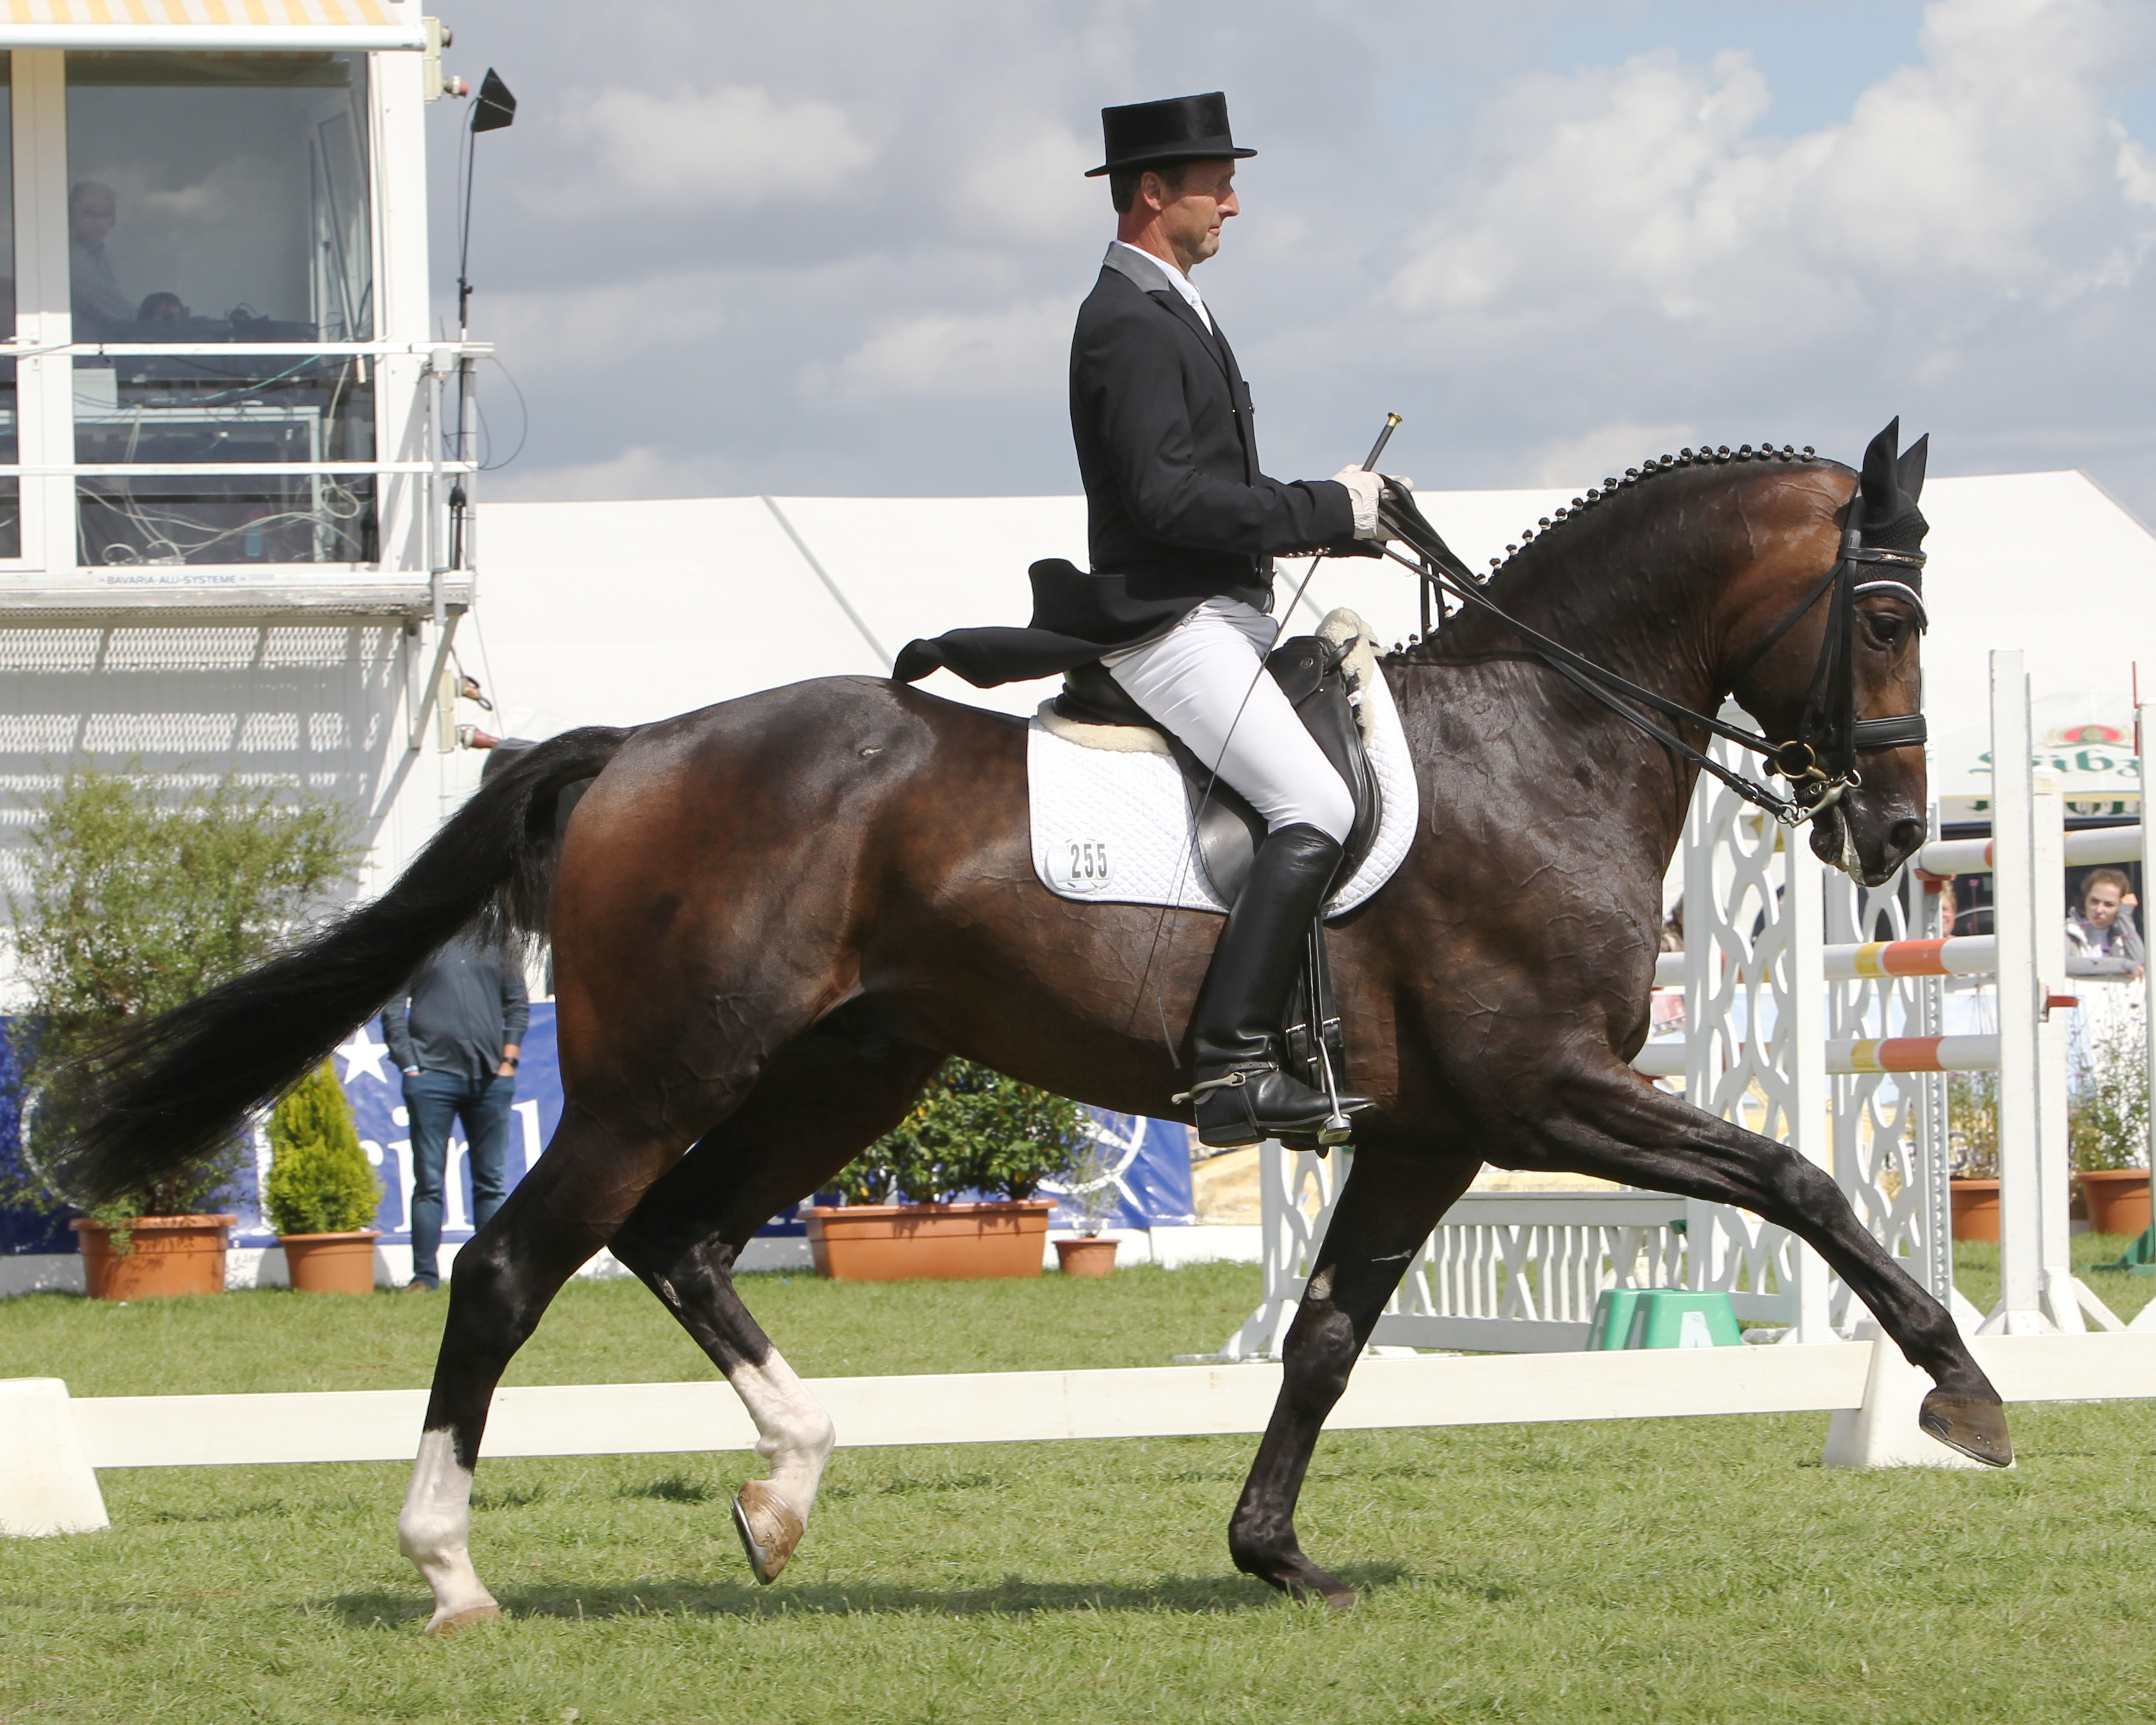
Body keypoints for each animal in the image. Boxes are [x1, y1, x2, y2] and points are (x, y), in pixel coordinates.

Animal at [51, 431, 2009, 1630]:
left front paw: (1269, 1552)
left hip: (849, 1064)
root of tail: (632, 749)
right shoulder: (1542, 1094)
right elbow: (1793, 1178)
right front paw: (1958, 1386)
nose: (1891, 835)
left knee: (683, 1236)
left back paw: (782, 1494)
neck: (1542, 741)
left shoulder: (1426, 1129)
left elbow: (1324, 1335)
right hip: (661, 1071)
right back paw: (453, 1568)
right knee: (514, 1262)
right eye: (1885, 612)